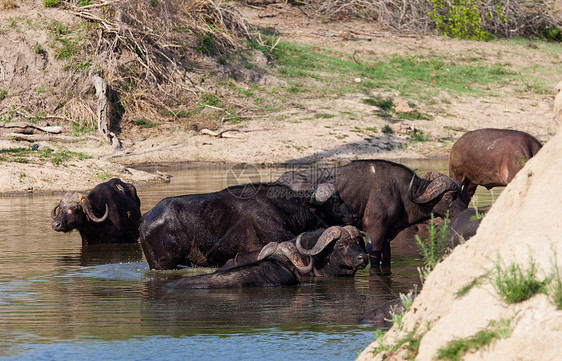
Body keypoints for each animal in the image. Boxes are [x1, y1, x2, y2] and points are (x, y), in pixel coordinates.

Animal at [274, 159, 464, 272]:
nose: (464, 212)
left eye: (460, 195)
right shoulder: (375, 232)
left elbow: (386, 259)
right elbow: (374, 259)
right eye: (449, 197)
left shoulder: (387, 236)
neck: (402, 193)